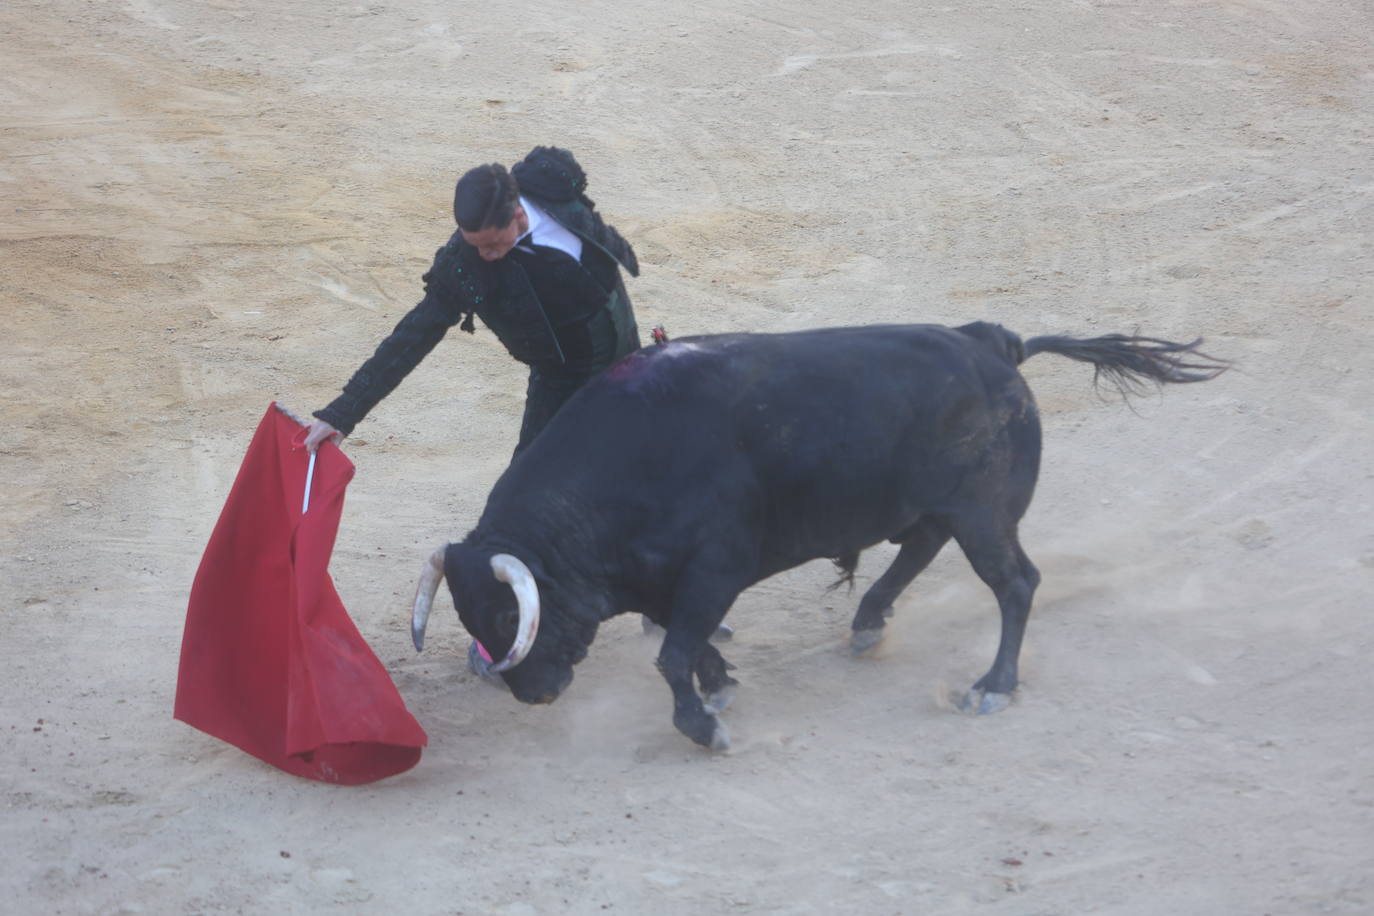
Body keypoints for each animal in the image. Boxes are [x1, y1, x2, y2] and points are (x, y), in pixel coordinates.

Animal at [406, 322, 1225, 752]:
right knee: (919, 550)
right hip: (938, 509)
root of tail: (993, 345)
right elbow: (683, 643)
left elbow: (672, 653)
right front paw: (720, 687)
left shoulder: (716, 566)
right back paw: (867, 625)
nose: (533, 695)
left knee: (1015, 583)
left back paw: (991, 686)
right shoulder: (670, 582)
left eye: (508, 614)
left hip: (983, 514)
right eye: (471, 615)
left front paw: (703, 727)